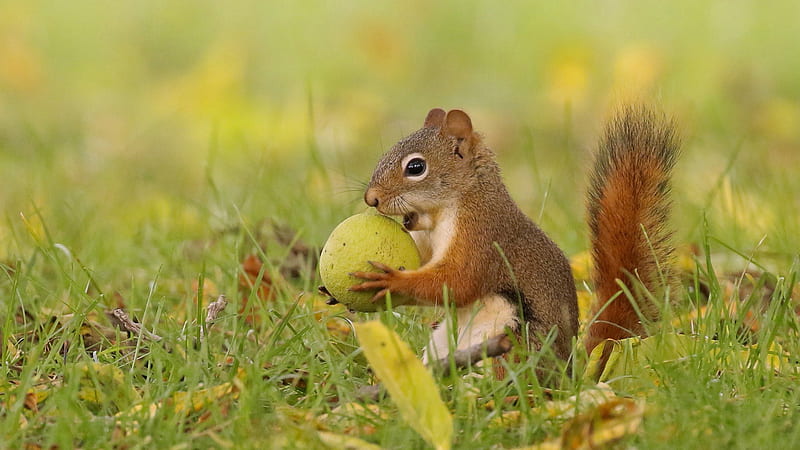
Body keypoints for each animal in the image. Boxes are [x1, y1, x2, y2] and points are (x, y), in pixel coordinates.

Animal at [348, 105, 676, 370]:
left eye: (416, 167)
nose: (371, 199)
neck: (445, 210)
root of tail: (568, 376)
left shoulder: (482, 235)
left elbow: (459, 281)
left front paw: (390, 281)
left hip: (512, 343)